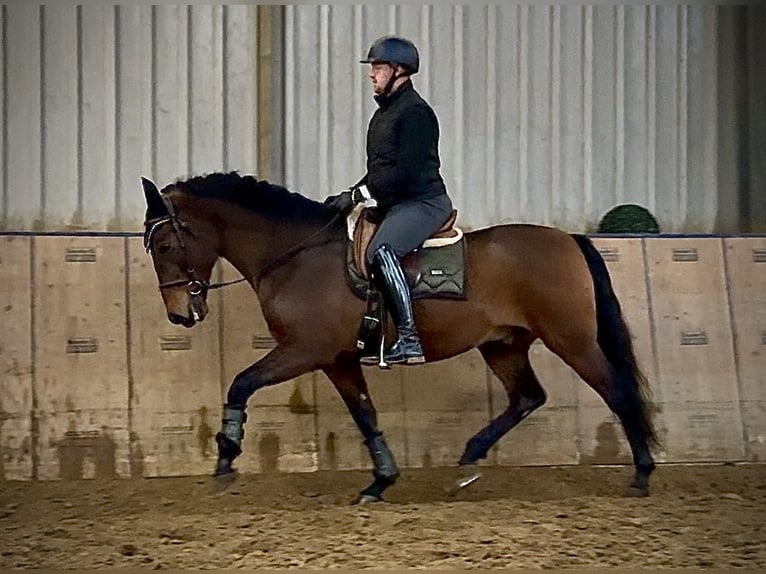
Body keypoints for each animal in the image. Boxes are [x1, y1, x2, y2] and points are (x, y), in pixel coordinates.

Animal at [140, 171, 657, 502]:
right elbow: (364, 414)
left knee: (616, 391)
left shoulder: (303, 351)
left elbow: (241, 384)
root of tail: (569, 239)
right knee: (528, 397)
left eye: (164, 245)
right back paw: (468, 460)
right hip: (503, 344)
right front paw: (380, 481)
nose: (180, 315)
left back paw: (642, 475)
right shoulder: (337, 359)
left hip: (571, 340)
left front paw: (226, 458)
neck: (295, 256)